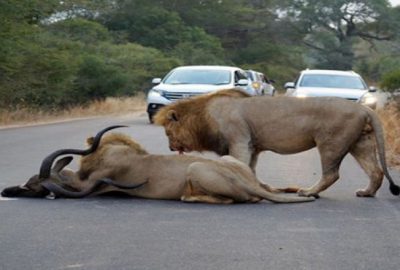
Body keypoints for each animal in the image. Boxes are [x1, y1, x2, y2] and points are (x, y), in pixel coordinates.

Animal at [154, 89, 400, 197]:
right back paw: (366, 192)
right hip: (360, 142)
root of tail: (364, 108)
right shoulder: (252, 146)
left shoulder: (239, 140)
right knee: (376, 171)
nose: (170, 147)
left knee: (332, 174)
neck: (203, 117)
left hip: (331, 143)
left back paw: (307, 192)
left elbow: (239, 163)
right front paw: (262, 187)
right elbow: (250, 169)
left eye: (167, 132)